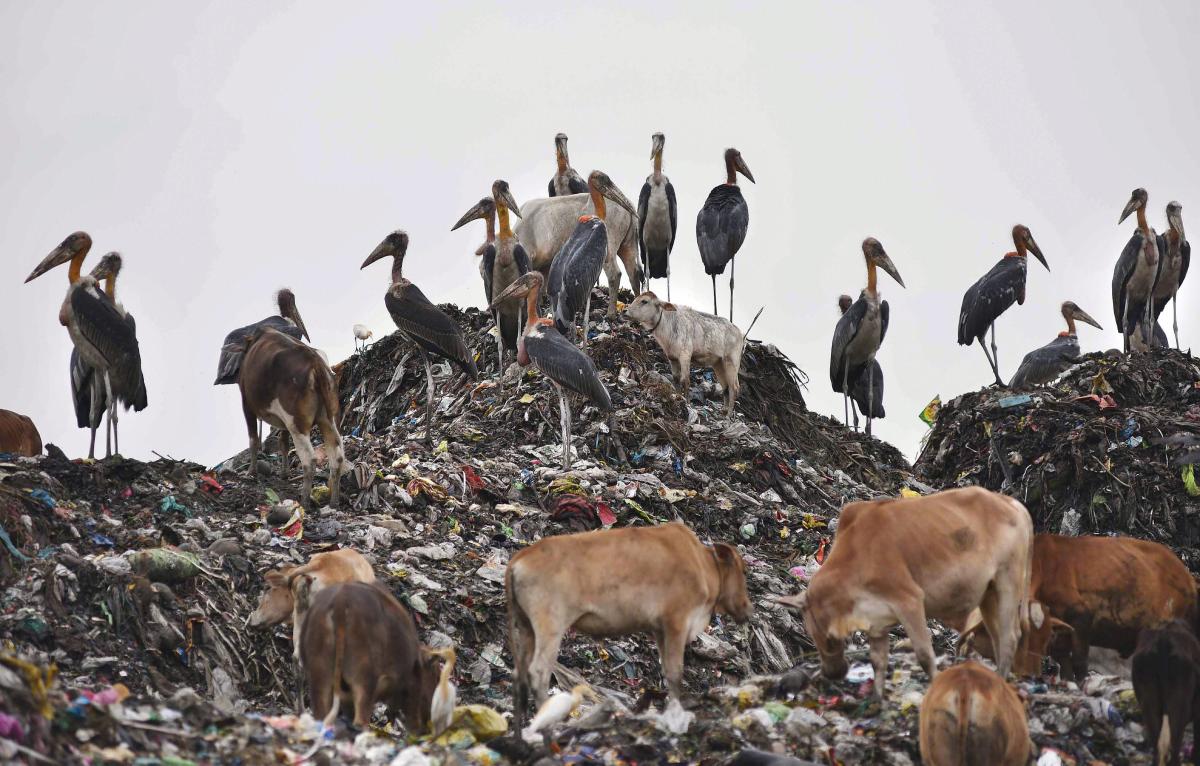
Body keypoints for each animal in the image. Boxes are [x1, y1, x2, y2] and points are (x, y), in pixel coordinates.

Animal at [505, 521, 752, 730]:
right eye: (743, 571)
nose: (747, 608)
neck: (703, 565)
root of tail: (520, 558)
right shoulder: (676, 621)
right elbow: (675, 673)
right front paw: (676, 715)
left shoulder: (659, 629)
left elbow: (666, 670)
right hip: (550, 625)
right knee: (538, 672)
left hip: (527, 628)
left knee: (519, 674)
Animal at [777, 487, 1033, 698]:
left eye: (825, 638)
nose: (832, 673)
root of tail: (1014, 505)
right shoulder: (877, 620)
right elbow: (877, 661)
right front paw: (877, 699)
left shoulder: (908, 600)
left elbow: (924, 654)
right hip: (989, 594)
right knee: (998, 637)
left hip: (1009, 580)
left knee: (1010, 637)